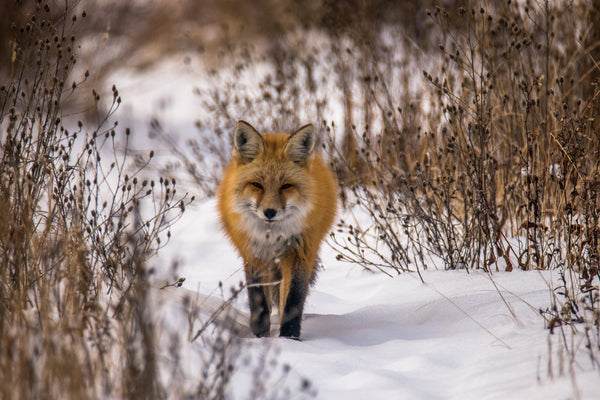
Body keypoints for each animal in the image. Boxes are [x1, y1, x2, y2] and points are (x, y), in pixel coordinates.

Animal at [216, 120, 338, 340]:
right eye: (257, 185)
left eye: (286, 186)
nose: (270, 212)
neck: (272, 237)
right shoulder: (253, 253)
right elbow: (257, 299)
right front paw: (260, 334)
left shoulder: (299, 252)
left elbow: (293, 300)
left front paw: (289, 338)